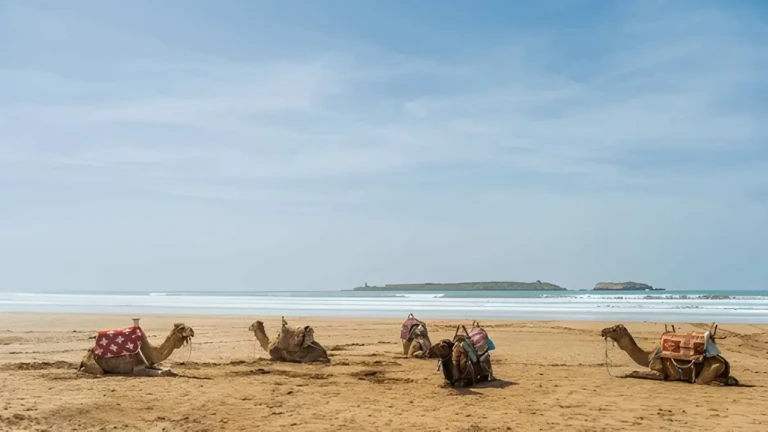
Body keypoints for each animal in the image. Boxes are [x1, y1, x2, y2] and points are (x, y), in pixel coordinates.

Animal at [601, 324, 738, 385]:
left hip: (709, 370)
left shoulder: (664, 373)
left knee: (703, 381)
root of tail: (725, 362)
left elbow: (636, 372)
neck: (649, 356)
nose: (603, 331)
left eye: (614, 329)